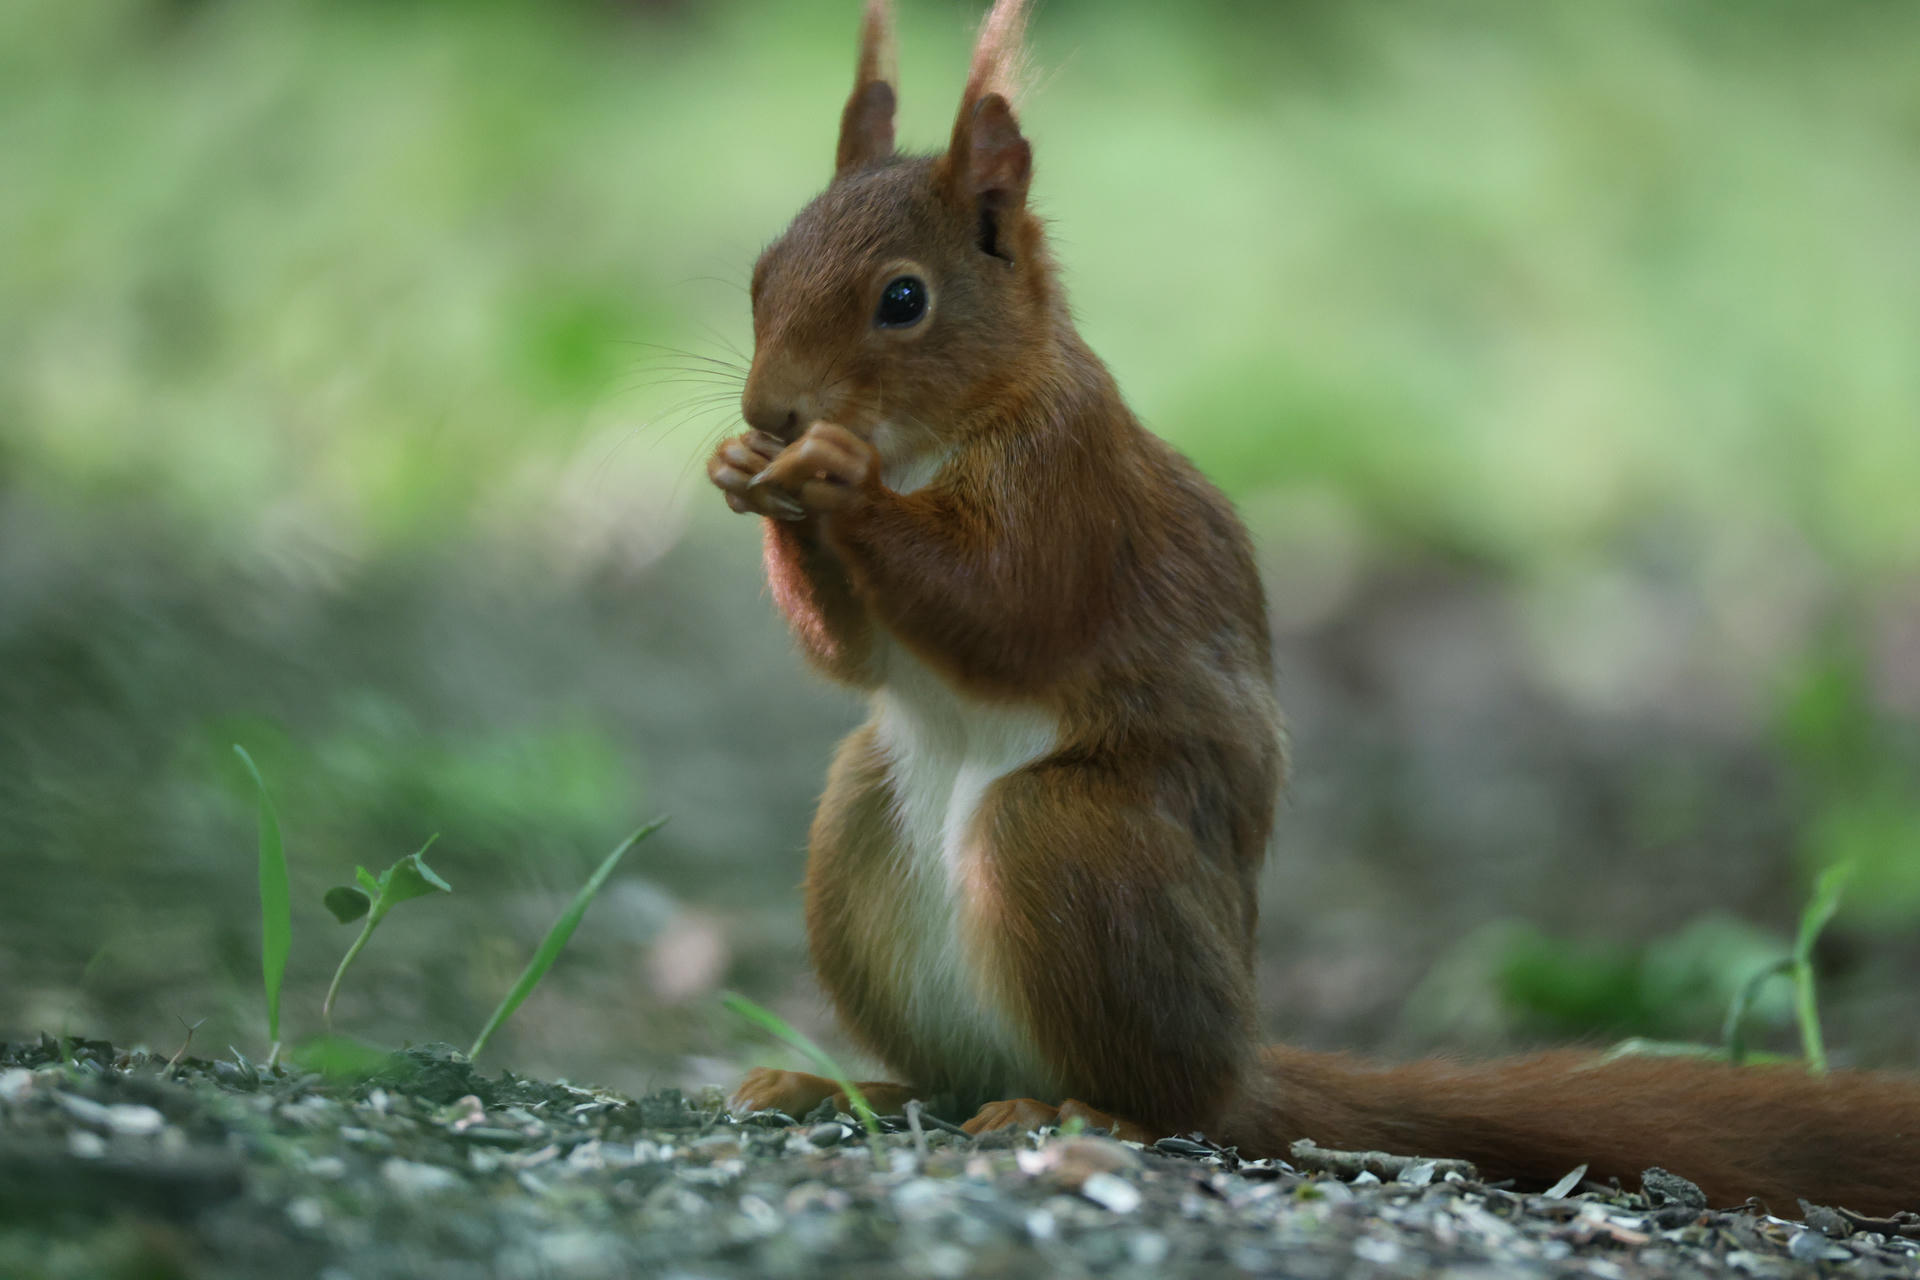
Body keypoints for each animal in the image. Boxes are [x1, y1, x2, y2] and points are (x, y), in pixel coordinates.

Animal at [706, 0, 1920, 1215]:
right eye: (759, 274)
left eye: (903, 300)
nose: (770, 410)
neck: (936, 435)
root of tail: (1243, 1057)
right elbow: (855, 656)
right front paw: (746, 474)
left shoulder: (1072, 488)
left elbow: (1006, 606)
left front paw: (838, 482)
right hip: (861, 828)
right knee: (948, 1067)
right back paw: (838, 1083)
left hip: (1075, 843)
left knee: (1164, 1096)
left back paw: (1083, 1109)